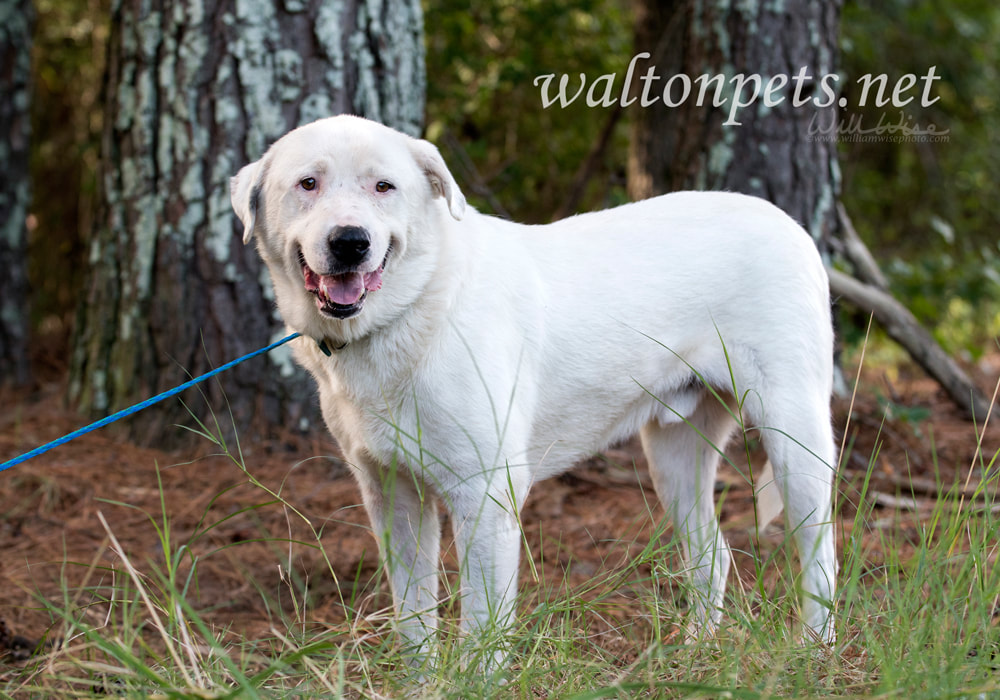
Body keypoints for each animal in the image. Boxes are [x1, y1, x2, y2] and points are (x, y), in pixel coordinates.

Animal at [232, 115, 836, 660]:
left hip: (795, 436)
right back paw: (693, 654)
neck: (415, 305)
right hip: (675, 455)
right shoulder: (392, 492)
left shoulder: (485, 493)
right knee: (714, 555)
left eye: (384, 187)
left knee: (819, 549)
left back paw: (816, 650)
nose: (350, 243)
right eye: (308, 184)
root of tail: (788, 223)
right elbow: (414, 622)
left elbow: (481, 629)